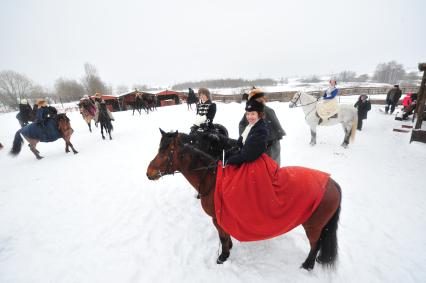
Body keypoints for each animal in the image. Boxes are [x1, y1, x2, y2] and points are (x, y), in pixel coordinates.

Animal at [148, 130, 342, 272]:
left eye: (167, 152)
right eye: (158, 149)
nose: (149, 172)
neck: (212, 178)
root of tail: (331, 182)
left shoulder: (217, 218)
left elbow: (222, 237)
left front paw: (223, 256)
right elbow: (225, 235)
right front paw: (229, 248)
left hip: (313, 225)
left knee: (315, 244)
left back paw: (308, 265)